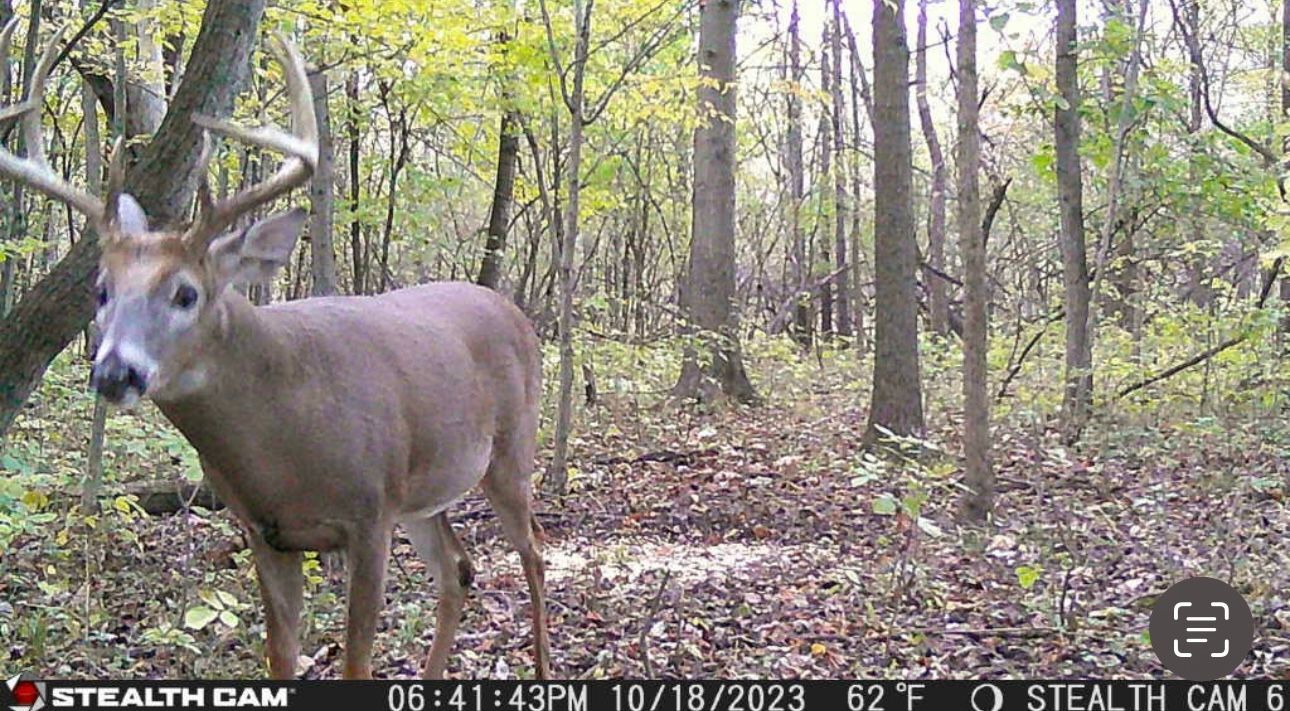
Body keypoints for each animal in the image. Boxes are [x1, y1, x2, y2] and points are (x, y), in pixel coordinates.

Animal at [0, 24, 550, 680]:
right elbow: (281, 658)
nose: (115, 371)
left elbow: (356, 661)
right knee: (458, 572)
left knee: (534, 554)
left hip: (510, 451)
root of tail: (514, 311)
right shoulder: (266, 532)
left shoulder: (371, 514)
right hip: (425, 495)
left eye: (185, 292)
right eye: (101, 290)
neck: (286, 435)